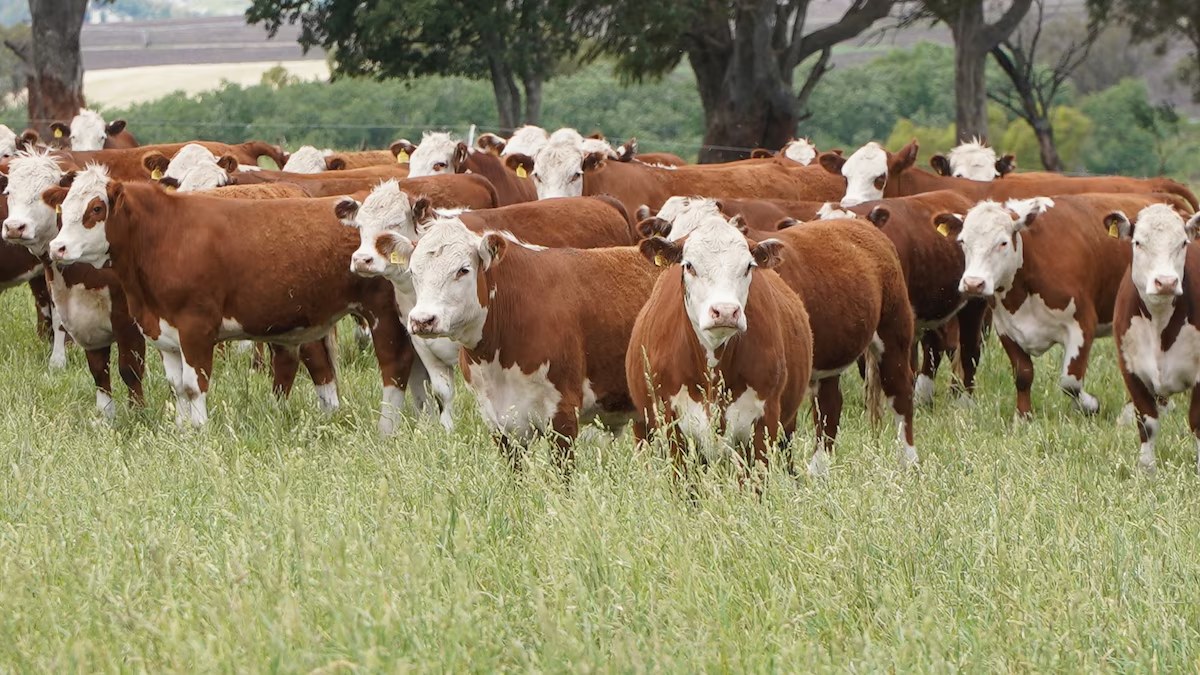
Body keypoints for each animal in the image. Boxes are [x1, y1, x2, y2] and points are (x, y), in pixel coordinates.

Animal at [43, 166, 417, 434]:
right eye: (64, 208)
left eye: (95, 208)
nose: (57, 247)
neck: (163, 236)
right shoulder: (163, 332)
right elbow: (177, 386)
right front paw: (181, 429)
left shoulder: (196, 328)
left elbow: (194, 385)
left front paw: (199, 429)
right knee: (321, 367)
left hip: (383, 312)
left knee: (394, 367)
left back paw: (386, 428)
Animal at [626, 216, 813, 477]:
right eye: (689, 266)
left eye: (748, 266)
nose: (725, 311)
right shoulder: (673, 423)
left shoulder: (764, 424)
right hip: (643, 426)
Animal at [643, 198, 918, 474]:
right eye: (686, 263)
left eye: (746, 267)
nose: (723, 310)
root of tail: (865, 225)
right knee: (829, 406)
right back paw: (818, 471)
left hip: (894, 333)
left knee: (901, 392)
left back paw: (908, 462)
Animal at [939, 193, 1183, 419]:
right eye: (962, 242)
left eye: (1003, 242)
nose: (973, 283)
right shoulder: (1005, 328)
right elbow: (1023, 375)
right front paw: (1023, 417)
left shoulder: (1082, 324)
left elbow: (1070, 380)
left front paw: (1090, 405)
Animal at [1110, 204, 1200, 473]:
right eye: (1138, 242)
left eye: (1183, 243)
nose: (1166, 282)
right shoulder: (1130, 369)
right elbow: (1147, 421)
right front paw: (1146, 467)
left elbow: (1196, 421)